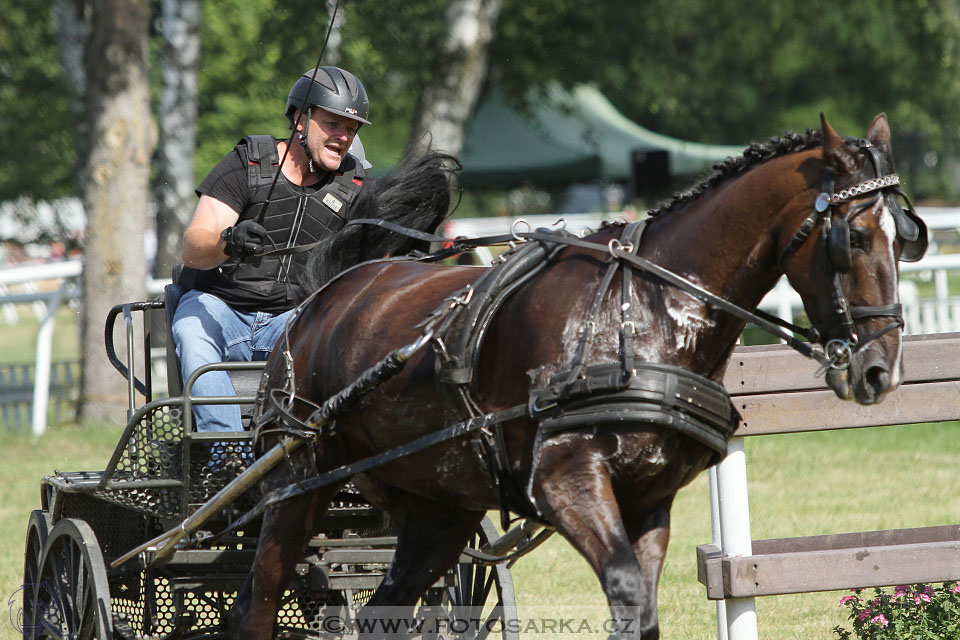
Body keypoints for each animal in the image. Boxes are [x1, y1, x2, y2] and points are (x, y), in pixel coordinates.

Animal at [229, 116, 928, 640]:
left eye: (907, 239)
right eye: (855, 236)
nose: (881, 368)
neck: (641, 309)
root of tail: (328, 295)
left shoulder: (649, 500)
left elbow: (641, 610)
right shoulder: (565, 479)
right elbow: (624, 591)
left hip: (436, 511)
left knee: (386, 610)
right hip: (296, 482)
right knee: (257, 600)